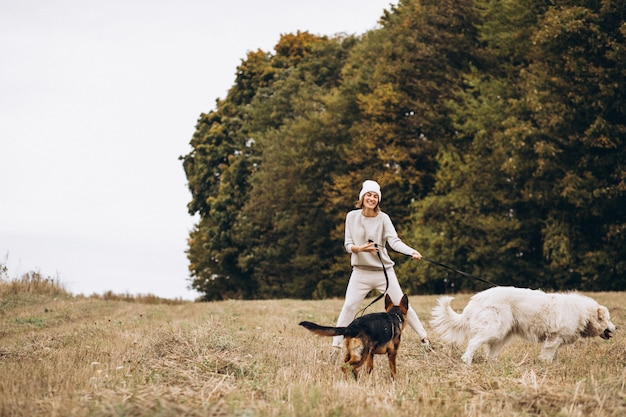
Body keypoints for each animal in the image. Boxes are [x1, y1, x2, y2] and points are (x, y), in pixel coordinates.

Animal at [428, 286, 616, 364]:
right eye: (608, 319)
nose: (616, 328)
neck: (584, 313)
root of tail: (476, 299)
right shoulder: (554, 338)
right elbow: (548, 354)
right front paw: (545, 365)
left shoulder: (556, 340)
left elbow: (553, 354)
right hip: (494, 329)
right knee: (474, 343)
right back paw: (467, 360)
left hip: (503, 334)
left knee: (490, 352)